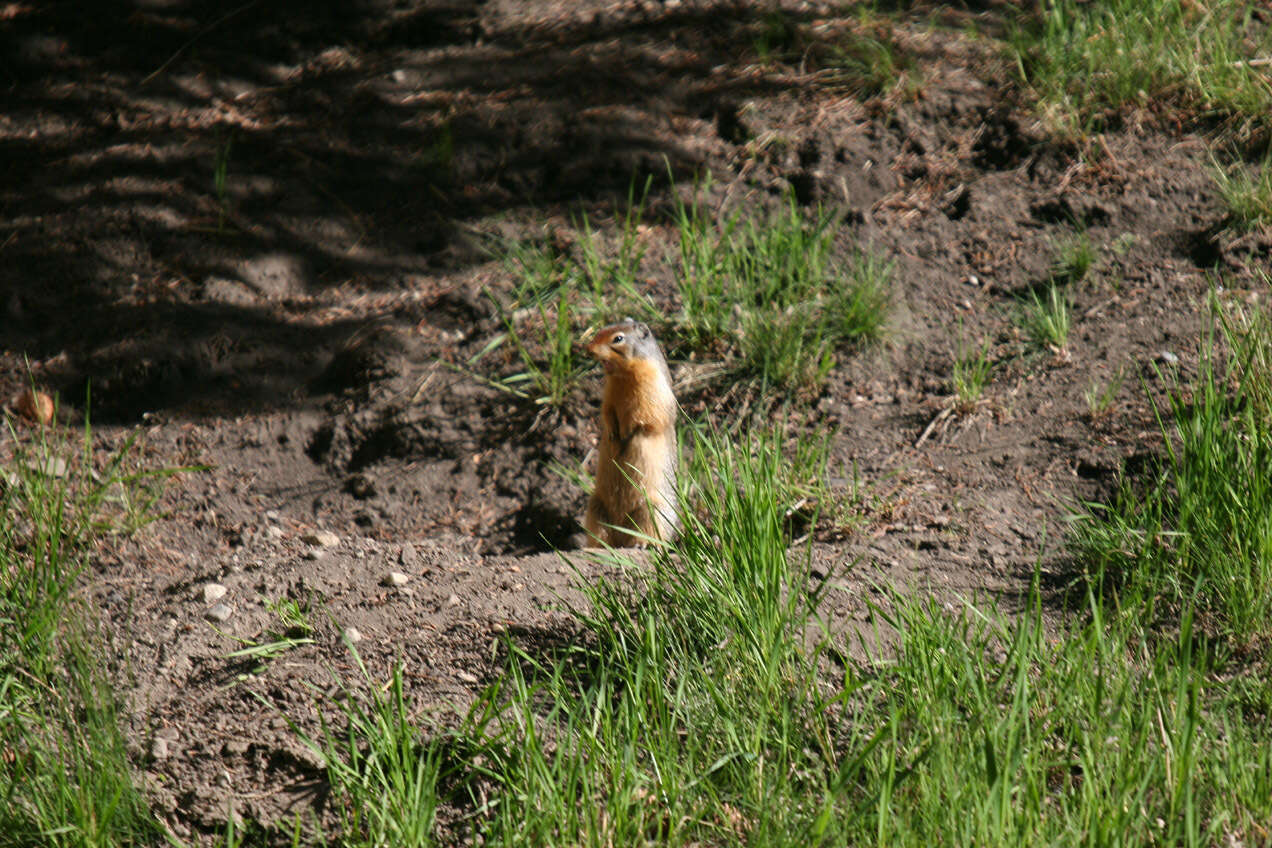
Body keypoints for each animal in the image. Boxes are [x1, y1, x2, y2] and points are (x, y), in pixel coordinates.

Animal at [582, 321, 676, 546]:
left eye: (618, 338)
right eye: (600, 331)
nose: (588, 349)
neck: (623, 377)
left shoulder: (652, 387)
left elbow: (644, 416)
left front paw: (626, 434)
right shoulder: (609, 395)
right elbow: (607, 411)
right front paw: (612, 434)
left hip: (653, 510)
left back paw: (641, 543)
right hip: (596, 507)